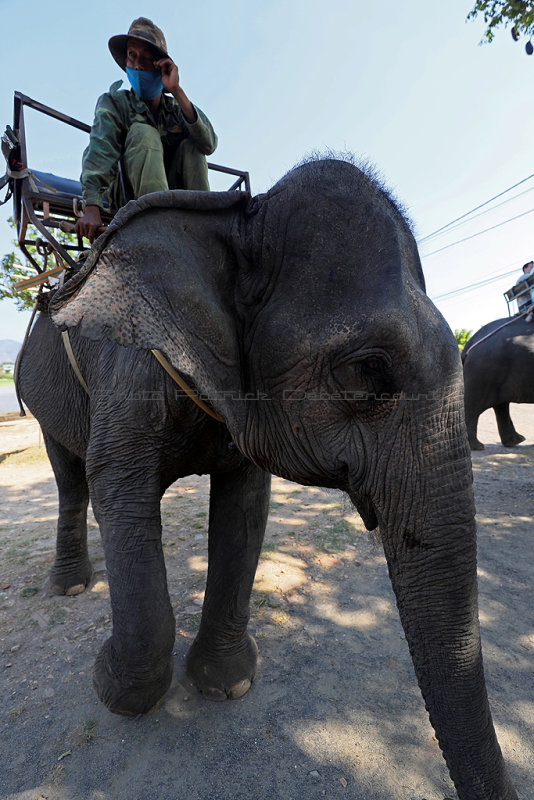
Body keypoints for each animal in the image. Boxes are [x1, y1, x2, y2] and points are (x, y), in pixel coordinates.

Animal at [17, 158, 520, 800]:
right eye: (368, 369)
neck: (239, 221)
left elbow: (244, 508)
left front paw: (225, 684)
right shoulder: (127, 368)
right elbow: (119, 488)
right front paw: (110, 685)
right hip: (42, 393)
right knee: (71, 480)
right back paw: (71, 588)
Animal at [462, 314, 534, 450]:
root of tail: (472, 341)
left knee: (501, 405)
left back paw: (515, 441)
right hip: (485, 371)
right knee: (473, 404)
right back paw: (476, 446)